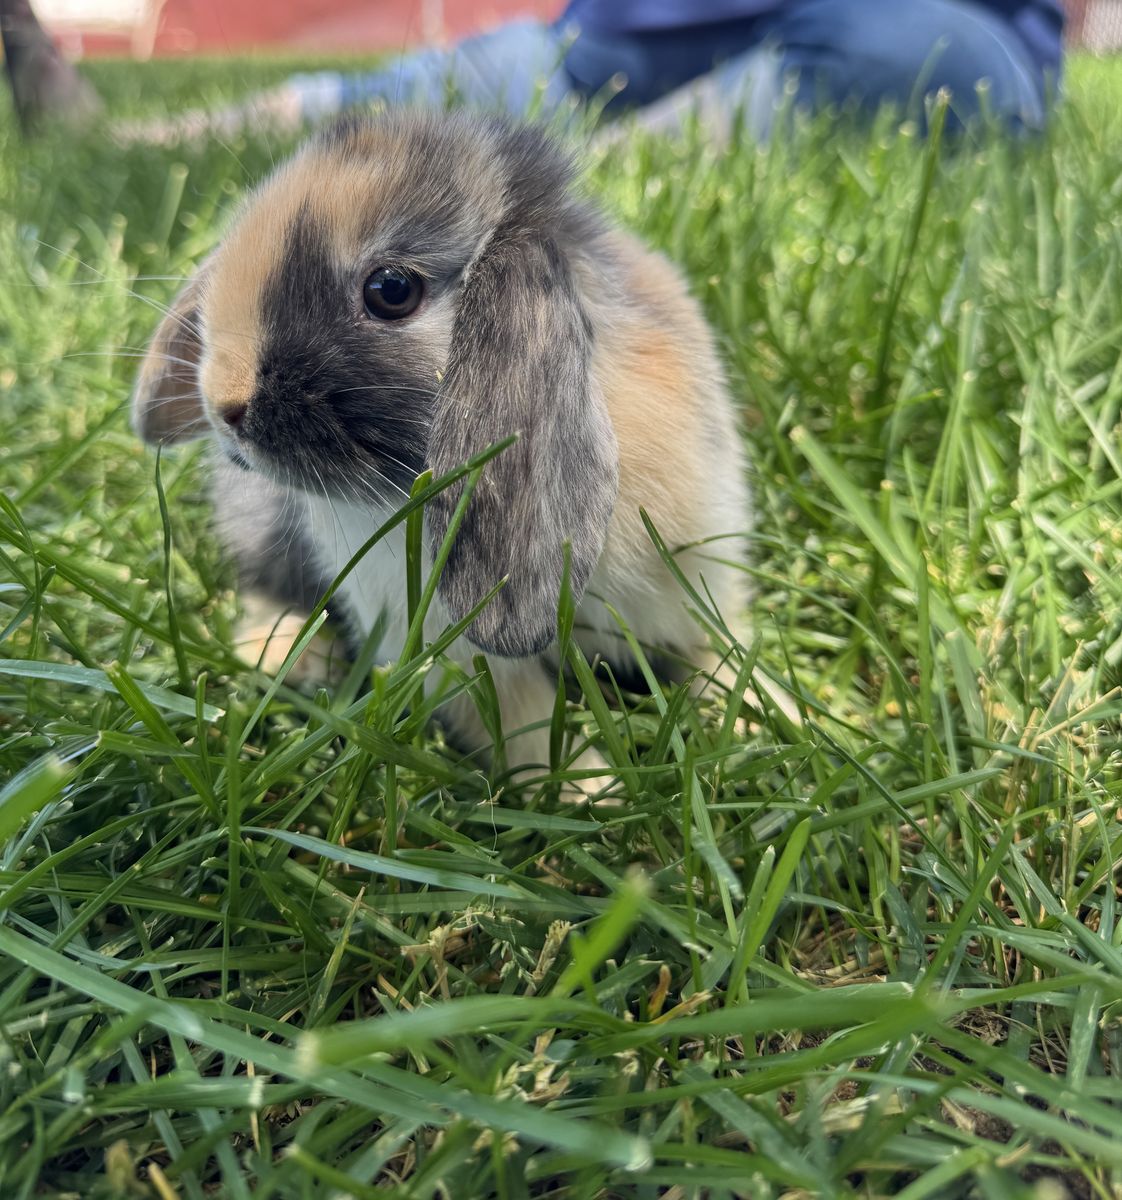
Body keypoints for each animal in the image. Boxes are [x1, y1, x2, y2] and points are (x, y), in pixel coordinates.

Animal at [131, 111, 759, 795]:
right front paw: (593, 793)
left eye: (391, 289)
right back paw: (289, 657)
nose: (224, 403)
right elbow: (523, 725)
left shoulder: (690, 589)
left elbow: (716, 654)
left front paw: (759, 723)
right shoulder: (461, 660)